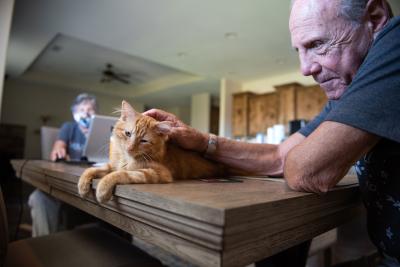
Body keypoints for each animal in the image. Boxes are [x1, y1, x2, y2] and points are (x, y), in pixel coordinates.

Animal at [78, 100, 225, 203]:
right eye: (128, 133)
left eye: (143, 141)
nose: (130, 148)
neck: (126, 159)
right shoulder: (112, 164)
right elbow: (93, 169)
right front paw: (83, 185)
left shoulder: (158, 173)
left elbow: (120, 174)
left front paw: (102, 189)